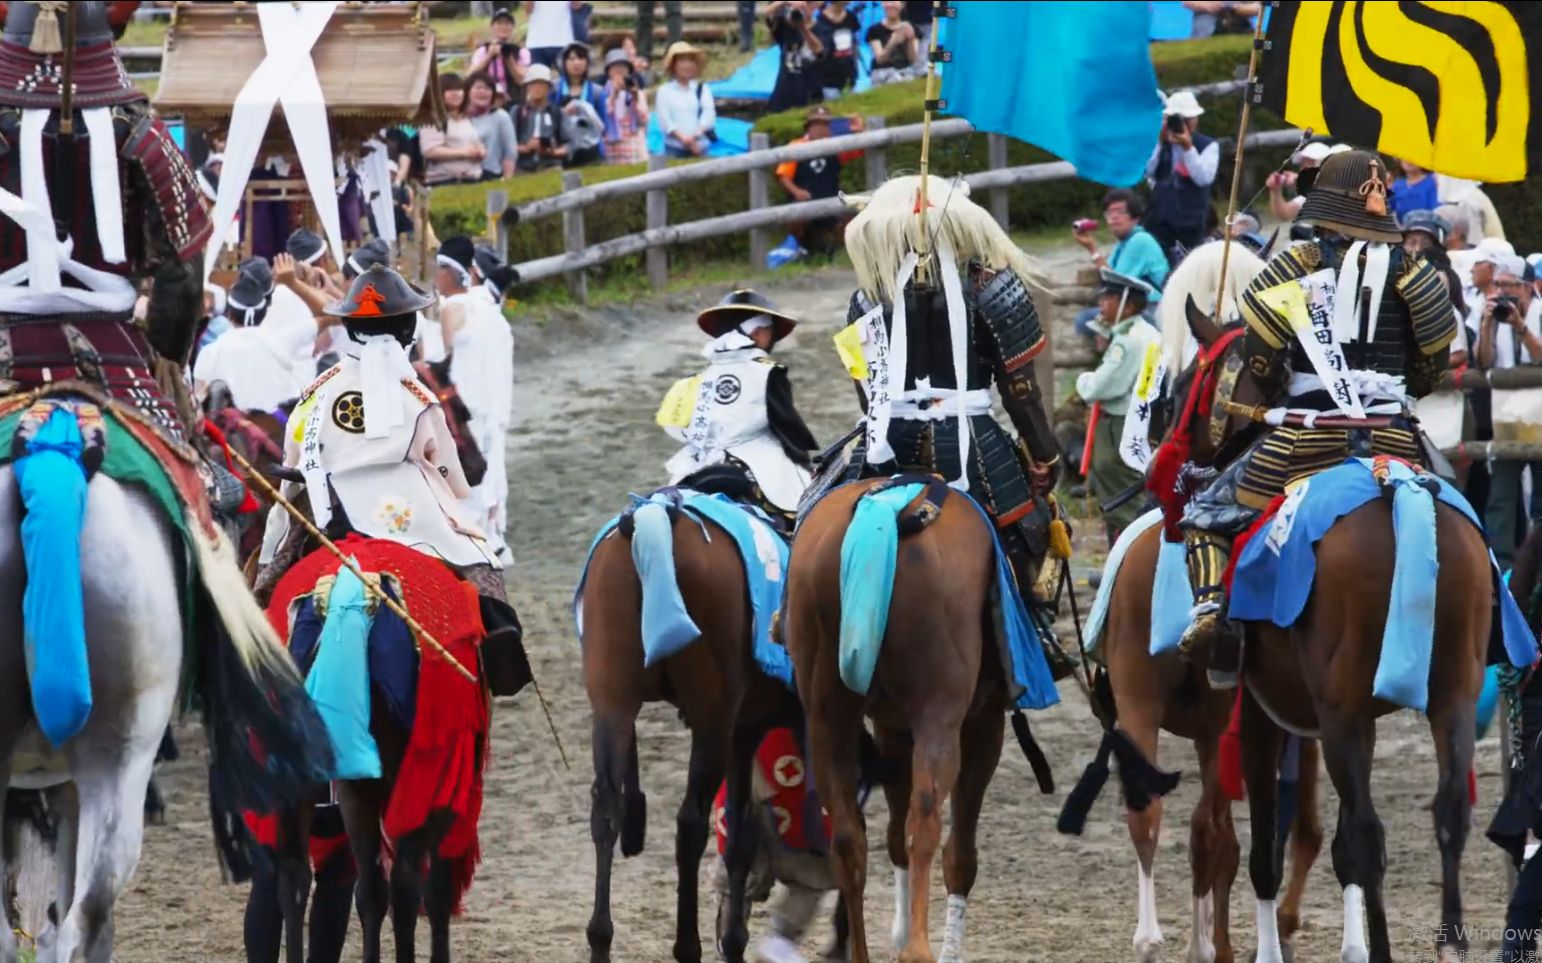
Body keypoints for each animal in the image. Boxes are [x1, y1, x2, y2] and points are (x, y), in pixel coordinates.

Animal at [579, 496, 795, 961]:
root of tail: (656, 514)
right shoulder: (744, 727)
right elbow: (740, 836)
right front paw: (733, 940)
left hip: (612, 704)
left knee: (605, 810)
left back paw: (601, 938)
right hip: (713, 720)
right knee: (690, 823)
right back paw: (687, 944)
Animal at [783, 474, 1023, 961]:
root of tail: (882, 514)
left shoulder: (891, 726)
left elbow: (892, 838)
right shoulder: (983, 723)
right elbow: (957, 853)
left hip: (827, 717)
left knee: (849, 839)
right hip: (939, 717)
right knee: (925, 821)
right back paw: (919, 948)